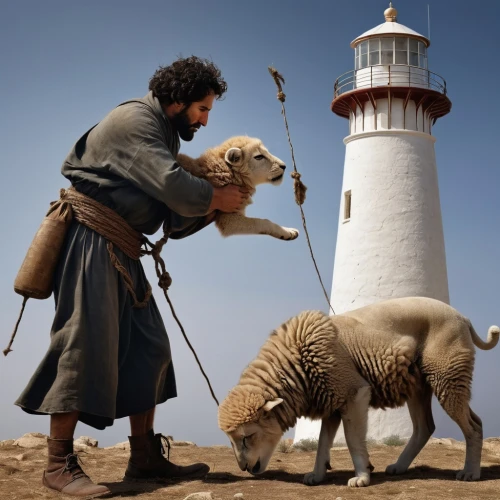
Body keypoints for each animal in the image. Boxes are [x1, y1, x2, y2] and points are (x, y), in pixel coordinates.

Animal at [219, 298, 500, 486]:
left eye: (247, 437)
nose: (243, 468)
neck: (296, 362)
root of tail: (463, 318)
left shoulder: (354, 393)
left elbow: (353, 439)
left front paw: (362, 476)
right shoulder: (331, 402)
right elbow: (322, 443)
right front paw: (317, 475)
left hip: (447, 378)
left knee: (473, 425)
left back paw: (470, 473)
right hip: (419, 386)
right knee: (425, 427)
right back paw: (398, 467)